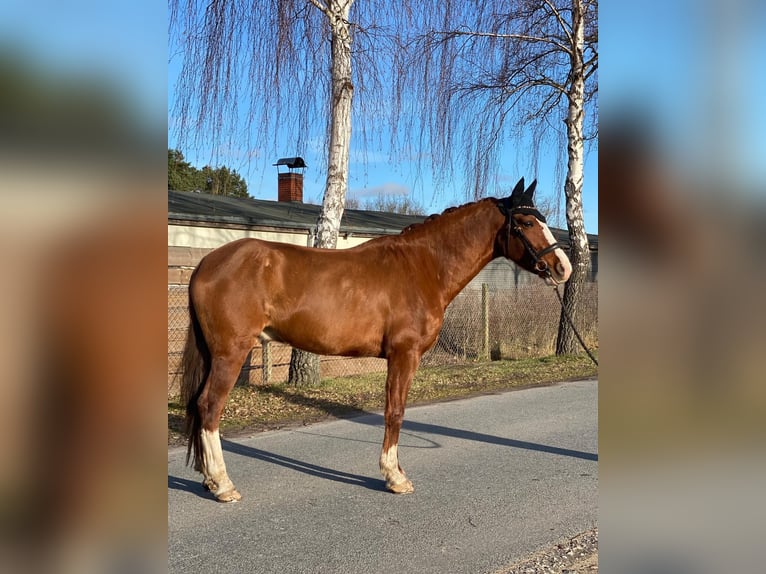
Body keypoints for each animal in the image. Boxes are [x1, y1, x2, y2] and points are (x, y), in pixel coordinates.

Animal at [183, 178, 572, 502]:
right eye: (526, 223)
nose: (563, 267)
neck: (423, 266)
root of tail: (207, 262)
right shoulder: (404, 355)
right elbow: (395, 412)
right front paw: (394, 477)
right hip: (231, 353)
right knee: (210, 407)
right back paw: (223, 485)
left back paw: (209, 479)